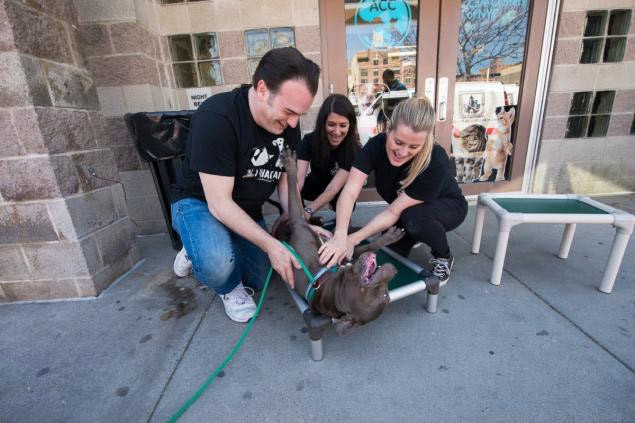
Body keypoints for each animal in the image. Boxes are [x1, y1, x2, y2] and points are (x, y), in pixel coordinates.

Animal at [278, 147, 402, 336]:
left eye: (384, 294)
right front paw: (389, 237)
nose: (392, 271)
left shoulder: (298, 224)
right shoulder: (344, 252)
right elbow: (368, 244)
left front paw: (291, 165)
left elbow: (294, 193)